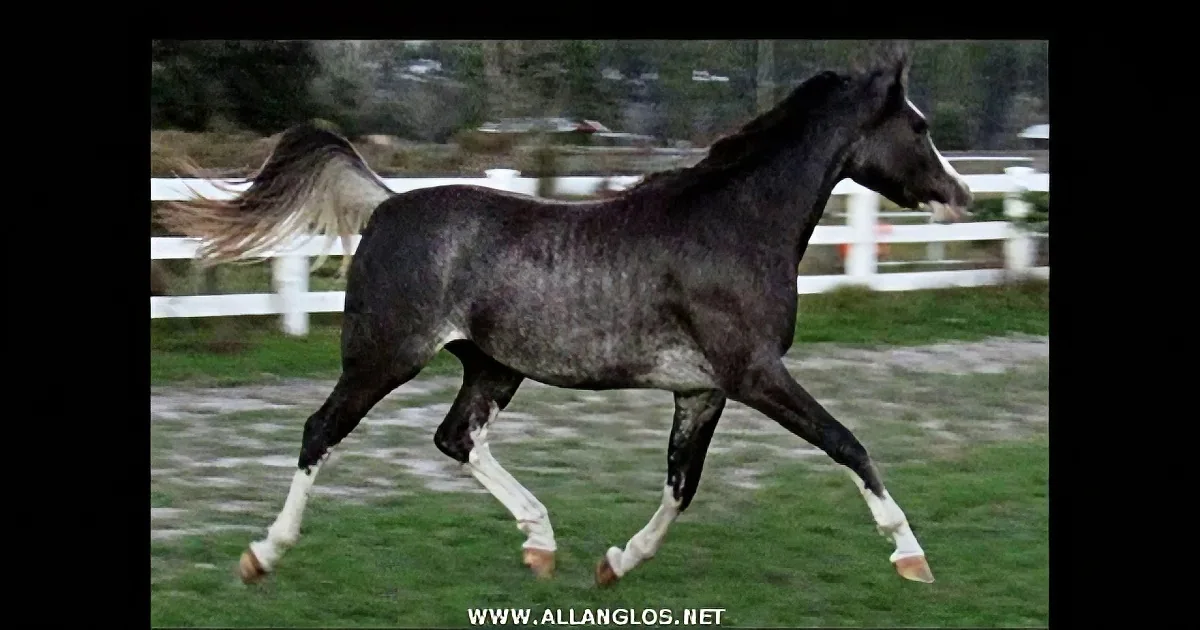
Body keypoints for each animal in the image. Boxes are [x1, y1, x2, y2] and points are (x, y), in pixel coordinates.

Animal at [159, 49, 973, 589]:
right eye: (921, 126)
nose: (960, 194)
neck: (732, 227)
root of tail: (387, 203)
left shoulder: (702, 389)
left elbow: (682, 484)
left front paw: (616, 562)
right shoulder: (756, 375)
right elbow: (847, 444)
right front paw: (911, 556)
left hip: (493, 367)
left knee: (456, 438)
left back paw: (540, 540)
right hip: (385, 355)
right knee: (320, 431)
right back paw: (262, 554)